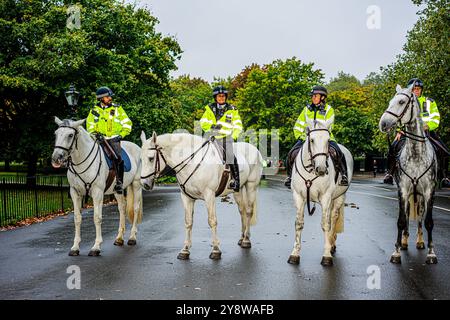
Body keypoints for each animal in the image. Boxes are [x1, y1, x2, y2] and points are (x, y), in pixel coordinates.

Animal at [51, 117, 143, 255]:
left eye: (70, 135)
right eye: (56, 134)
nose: (56, 158)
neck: (82, 161)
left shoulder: (97, 193)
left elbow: (97, 218)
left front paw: (96, 247)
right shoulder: (75, 193)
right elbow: (77, 218)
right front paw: (75, 247)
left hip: (136, 185)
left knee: (136, 208)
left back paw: (132, 237)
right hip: (118, 190)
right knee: (122, 208)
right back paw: (119, 238)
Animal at [141, 132, 264, 260]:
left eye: (151, 158)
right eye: (141, 158)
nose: (145, 184)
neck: (192, 162)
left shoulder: (209, 195)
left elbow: (212, 221)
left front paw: (216, 250)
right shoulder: (186, 197)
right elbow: (188, 221)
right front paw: (185, 250)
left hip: (251, 186)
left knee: (249, 211)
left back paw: (246, 240)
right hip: (238, 191)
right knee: (242, 211)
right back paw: (242, 237)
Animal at [286, 116, 354, 266]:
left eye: (328, 140)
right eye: (311, 140)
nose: (322, 169)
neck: (311, 170)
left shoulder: (326, 197)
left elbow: (325, 225)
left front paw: (327, 255)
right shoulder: (298, 197)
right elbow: (299, 223)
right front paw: (295, 254)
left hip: (339, 197)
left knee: (333, 218)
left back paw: (331, 245)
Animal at [378, 84, 438, 264]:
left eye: (401, 102)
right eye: (390, 101)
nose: (383, 123)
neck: (416, 154)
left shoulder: (429, 191)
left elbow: (428, 222)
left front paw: (431, 253)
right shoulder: (403, 191)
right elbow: (401, 220)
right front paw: (397, 251)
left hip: (420, 196)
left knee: (419, 218)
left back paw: (420, 241)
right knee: (407, 215)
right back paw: (405, 242)